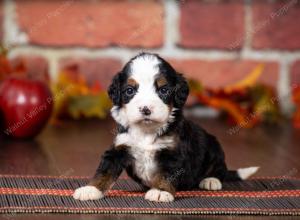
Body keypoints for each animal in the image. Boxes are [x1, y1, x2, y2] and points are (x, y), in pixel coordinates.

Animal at [72, 52, 258, 203]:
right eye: (129, 90)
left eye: (163, 90)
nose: (146, 109)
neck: (146, 130)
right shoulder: (120, 147)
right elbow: (105, 171)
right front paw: (90, 189)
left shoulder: (172, 153)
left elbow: (166, 174)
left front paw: (161, 192)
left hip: (213, 146)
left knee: (220, 169)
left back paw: (211, 180)